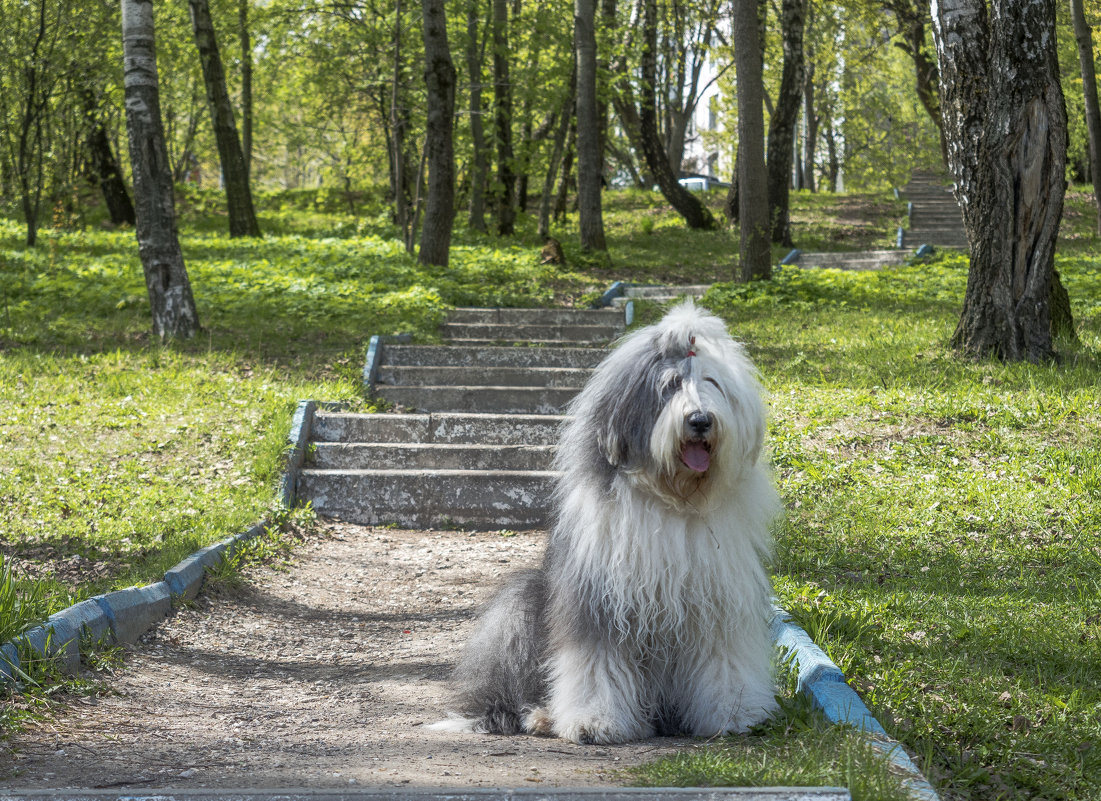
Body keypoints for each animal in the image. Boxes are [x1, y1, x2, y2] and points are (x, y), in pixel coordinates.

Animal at [433, 299, 779, 743]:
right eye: (669, 385)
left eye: (712, 382)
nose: (700, 420)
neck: (672, 499)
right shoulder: (598, 600)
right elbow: (596, 663)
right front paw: (594, 722)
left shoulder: (718, 602)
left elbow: (725, 660)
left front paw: (735, 714)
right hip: (520, 607)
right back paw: (540, 715)